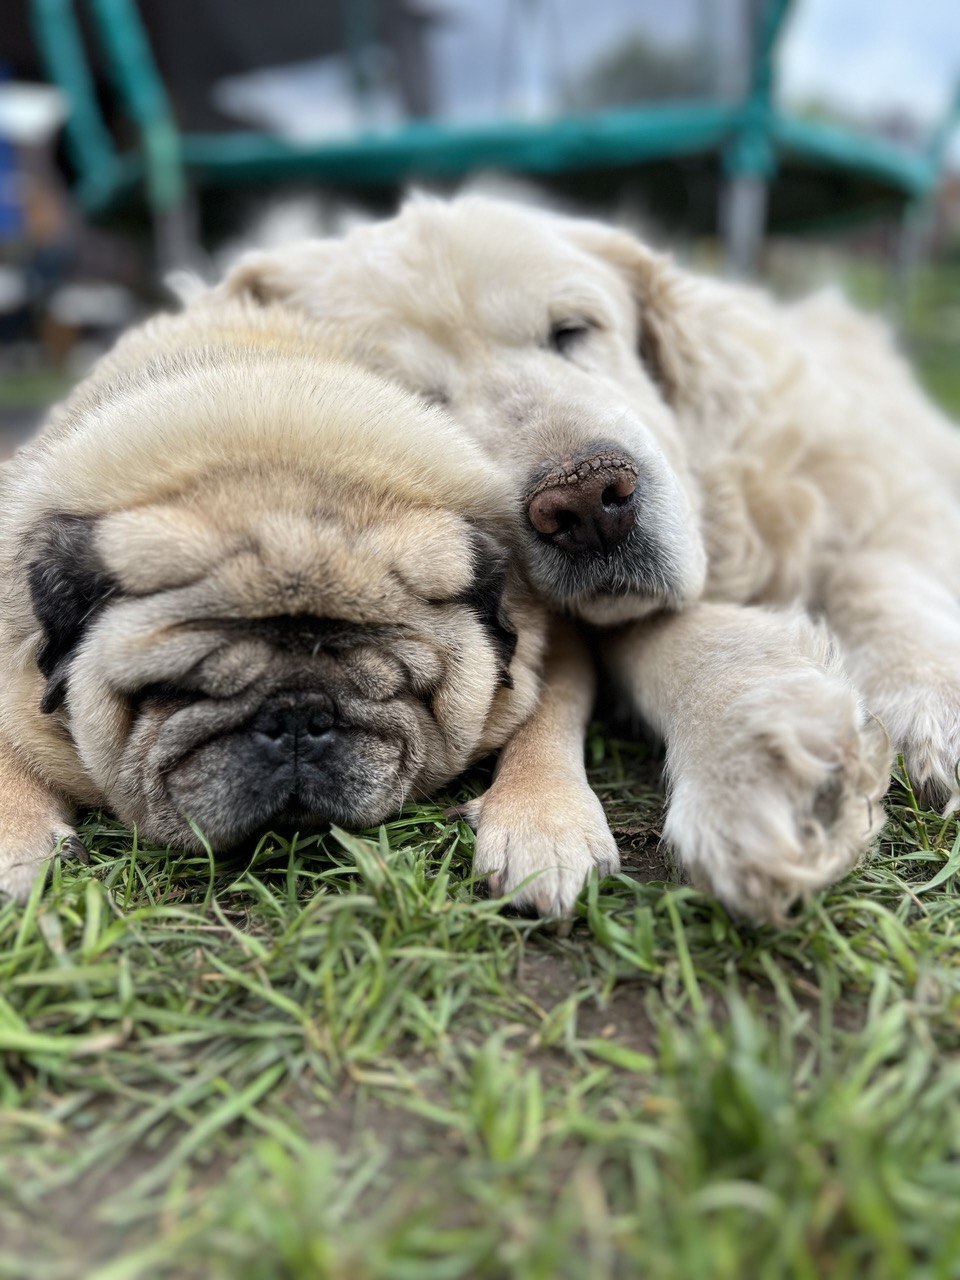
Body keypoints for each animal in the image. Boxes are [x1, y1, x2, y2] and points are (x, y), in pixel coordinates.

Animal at [216, 194, 960, 921]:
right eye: (417, 405)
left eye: (571, 330)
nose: (587, 502)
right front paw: (753, 756)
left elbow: (879, 574)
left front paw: (931, 697)